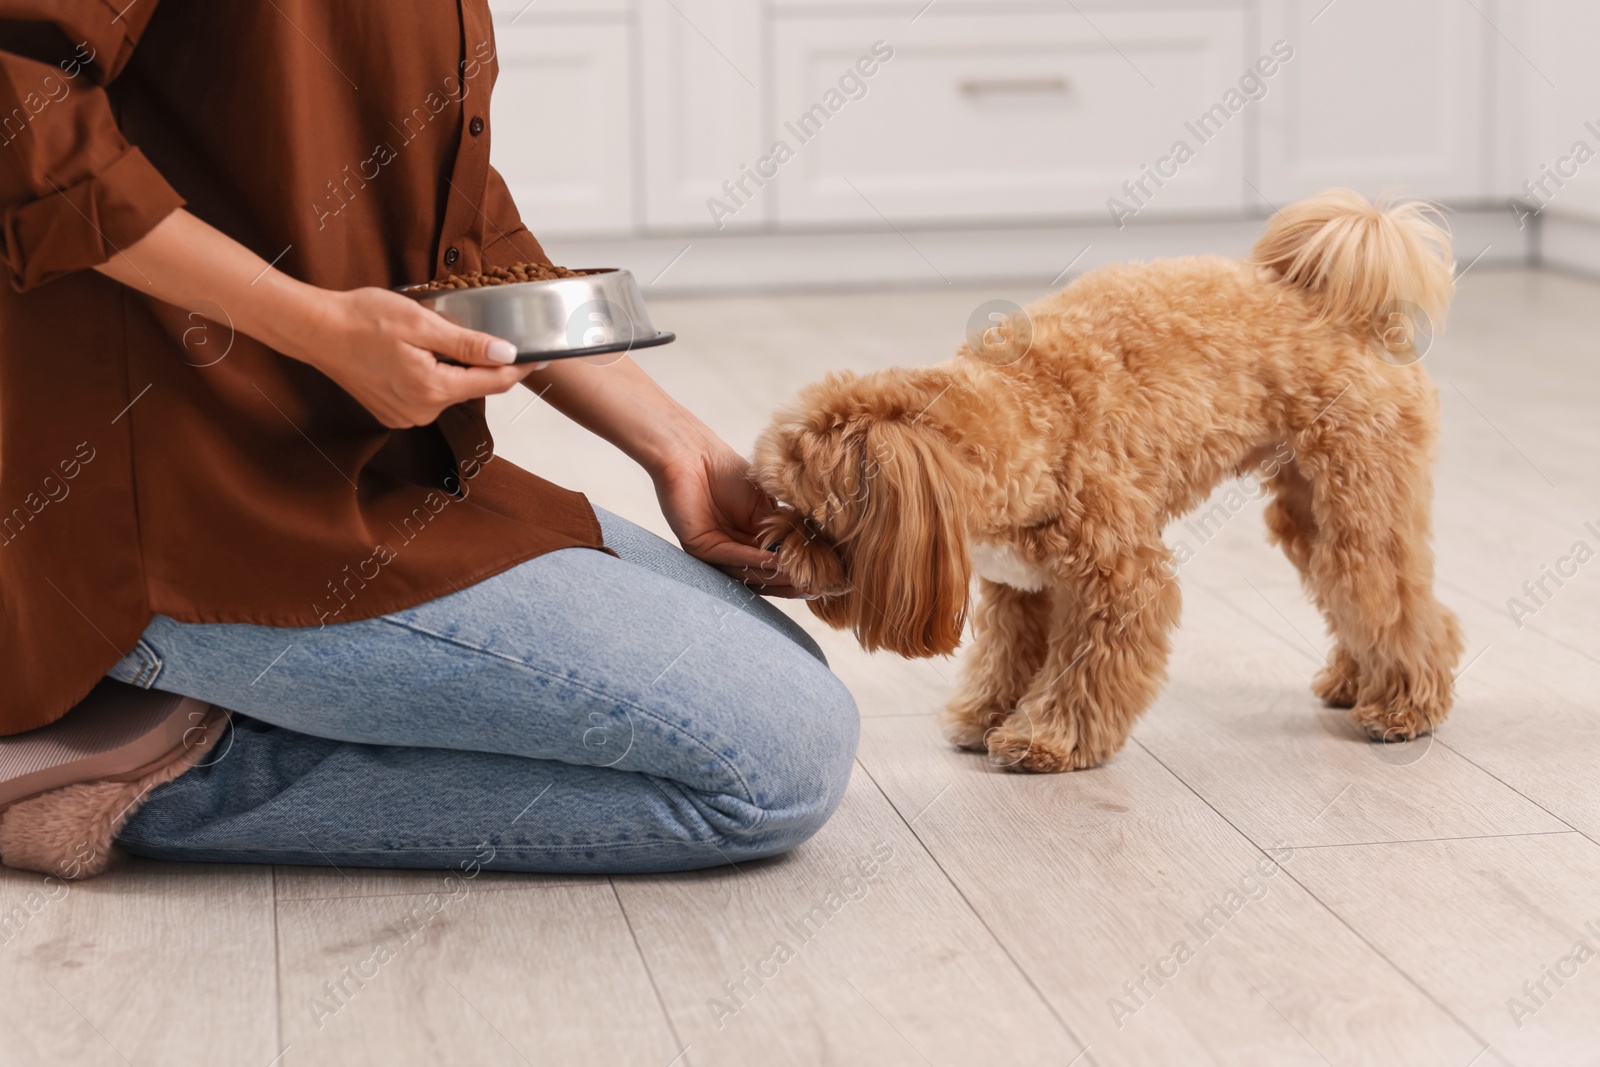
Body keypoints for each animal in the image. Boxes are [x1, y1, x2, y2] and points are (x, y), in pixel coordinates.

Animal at [755, 191, 1465, 771]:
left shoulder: (1119, 583)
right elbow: (1005, 659)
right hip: (1310, 512)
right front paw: (984, 716)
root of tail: (1349, 308)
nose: (775, 546)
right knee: (1362, 600)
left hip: (1361, 501)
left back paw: (1403, 706)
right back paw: (1353, 681)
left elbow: (1084, 674)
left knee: (1397, 603)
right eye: (779, 499)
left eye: (820, 520)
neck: (1033, 411)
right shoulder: (1020, 591)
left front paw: (1044, 740)